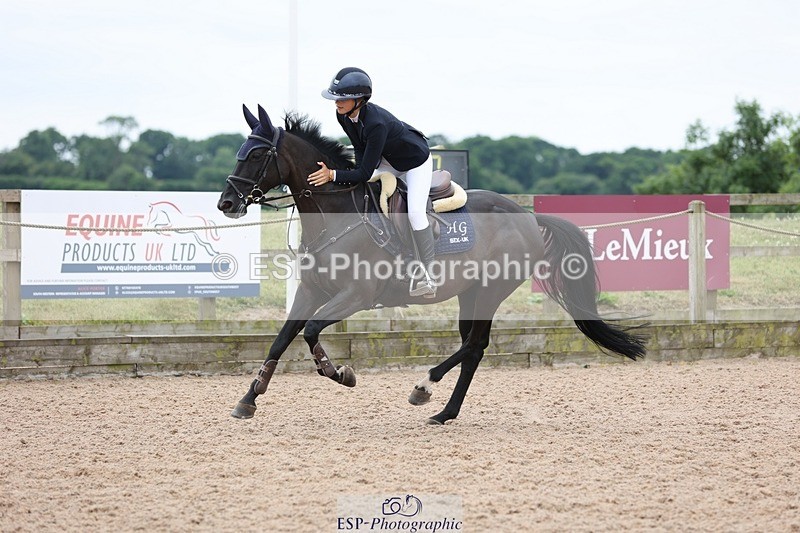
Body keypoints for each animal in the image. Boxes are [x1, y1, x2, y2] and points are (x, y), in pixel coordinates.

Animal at [217, 104, 647, 425]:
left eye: (257, 154)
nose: (227, 203)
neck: (335, 214)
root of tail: (527, 216)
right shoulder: (311, 290)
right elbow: (282, 338)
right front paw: (249, 399)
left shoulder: (355, 296)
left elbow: (309, 332)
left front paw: (339, 373)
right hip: (470, 293)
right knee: (472, 347)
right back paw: (443, 410)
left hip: (491, 290)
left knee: (474, 345)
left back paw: (426, 389)